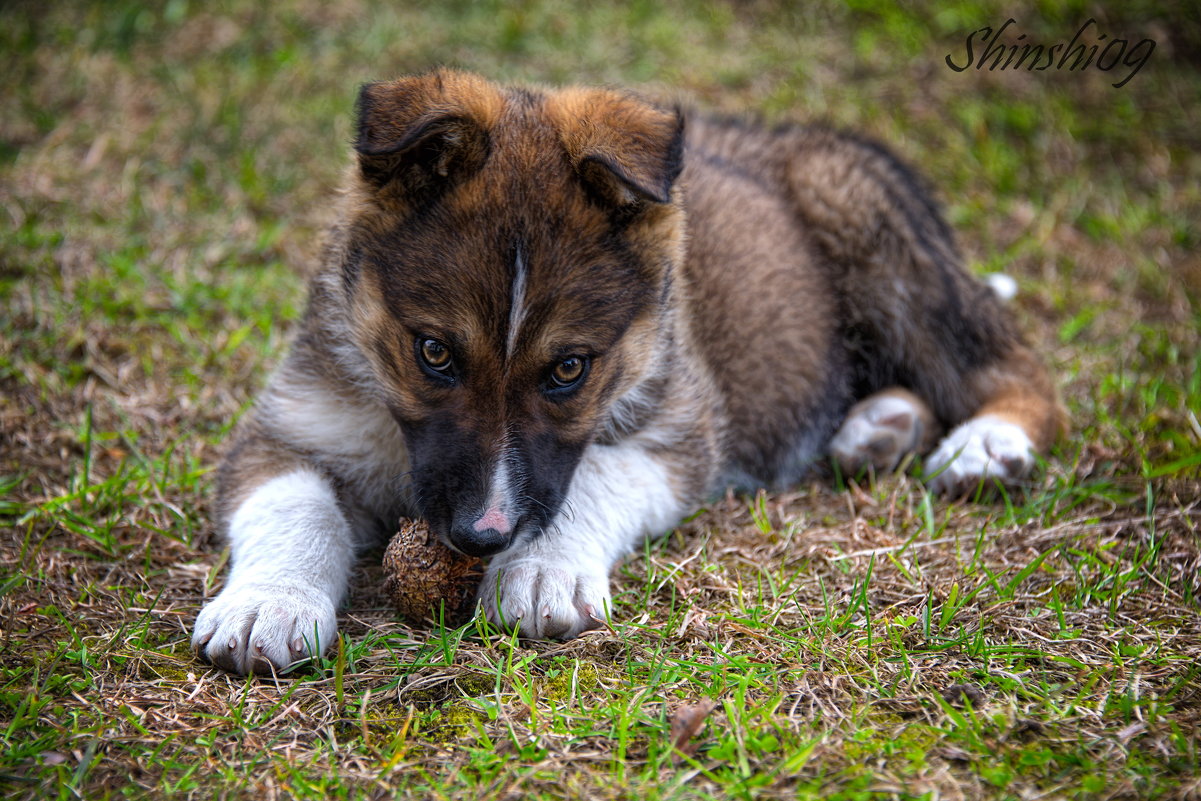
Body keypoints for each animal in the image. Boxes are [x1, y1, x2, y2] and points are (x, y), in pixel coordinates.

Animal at [192, 72, 1066, 677]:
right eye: (433, 351)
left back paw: (987, 443)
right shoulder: (289, 428)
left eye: (569, 368)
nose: (481, 534)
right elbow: (295, 506)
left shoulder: (678, 434)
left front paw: (539, 571)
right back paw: (878, 429)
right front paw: (268, 604)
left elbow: (591, 477)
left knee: (1006, 360)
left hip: (881, 246)